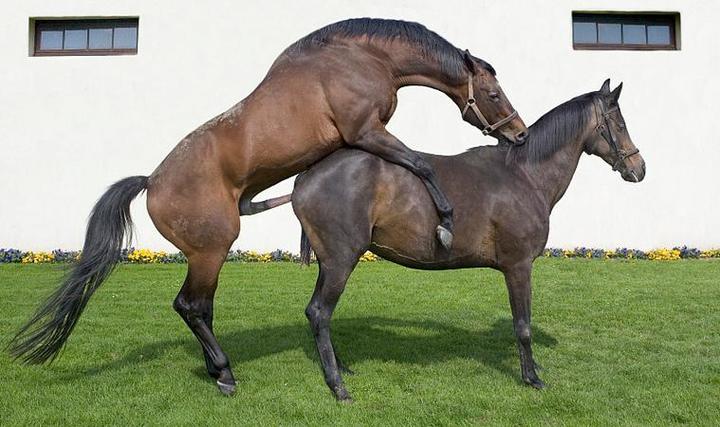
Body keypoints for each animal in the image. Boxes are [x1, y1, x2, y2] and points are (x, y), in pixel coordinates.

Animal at [9, 18, 529, 396]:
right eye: (492, 93)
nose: (519, 134)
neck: (361, 59)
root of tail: (152, 183)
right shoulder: (367, 131)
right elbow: (421, 165)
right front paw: (444, 224)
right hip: (213, 248)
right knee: (190, 305)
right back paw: (225, 374)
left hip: (208, 254)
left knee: (200, 308)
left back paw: (216, 369)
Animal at [291, 80, 646, 401]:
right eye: (620, 124)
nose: (639, 168)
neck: (524, 176)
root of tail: (307, 177)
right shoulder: (519, 267)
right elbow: (523, 326)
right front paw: (531, 377)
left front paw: (533, 368)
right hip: (341, 262)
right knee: (321, 313)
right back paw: (338, 387)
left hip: (330, 264)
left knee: (315, 313)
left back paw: (340, 368)